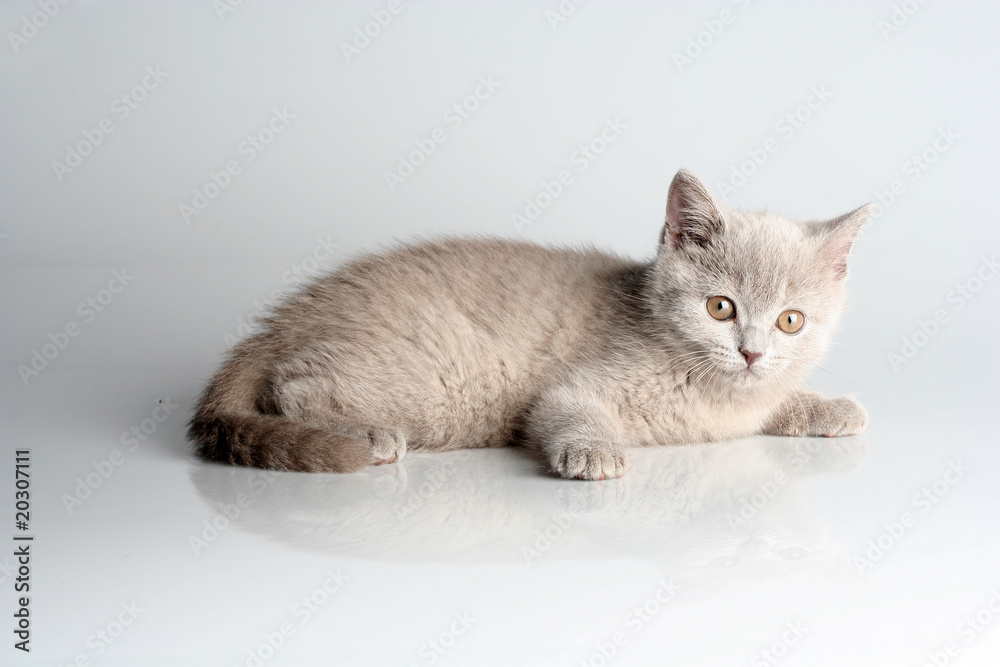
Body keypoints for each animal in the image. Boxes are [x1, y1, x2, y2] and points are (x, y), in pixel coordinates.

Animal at [191, 168, 872, 480]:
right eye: (721, 308)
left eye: (790, 321)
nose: (753, 352)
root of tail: (281, 321)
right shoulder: (573, 387)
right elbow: (565, 410)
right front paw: (593, 452)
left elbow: (779, 399)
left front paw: (831, 407)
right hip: (439, 384)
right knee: (291, 387)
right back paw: (371, 435)